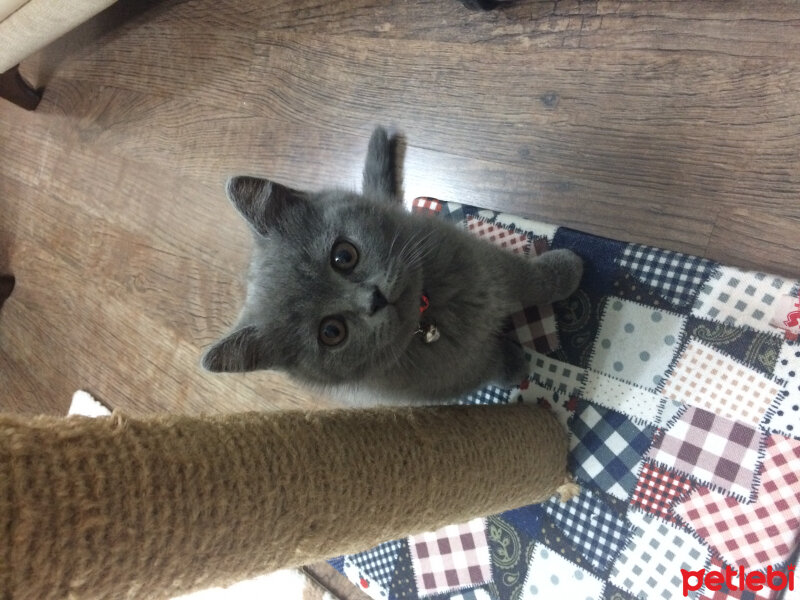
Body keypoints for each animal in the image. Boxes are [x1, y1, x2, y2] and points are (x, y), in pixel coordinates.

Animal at [203, 129, 584, 406]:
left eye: (343, 256)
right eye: (331, 332)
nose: (374, 299)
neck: (429, 314)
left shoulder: (483, 261)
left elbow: (527, 279)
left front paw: (567, 271)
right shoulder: (446, 380)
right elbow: (483, 368)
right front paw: (514, 364)